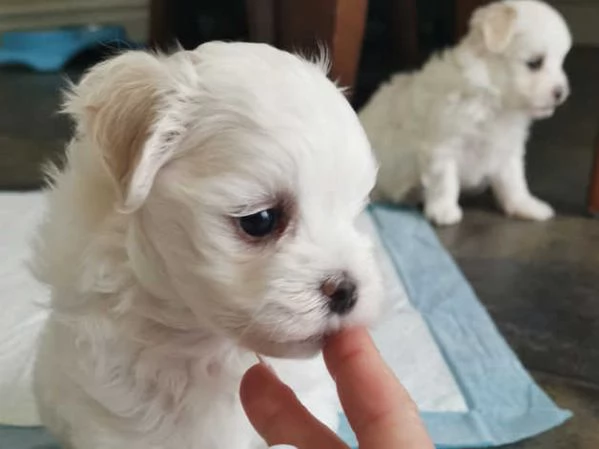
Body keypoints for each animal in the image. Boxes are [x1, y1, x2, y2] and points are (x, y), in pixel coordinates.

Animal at [31, 42, 384, 448]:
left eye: (353, 214)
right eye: (260, 220)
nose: (347, 290)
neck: (205, 340)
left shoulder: (311, 397)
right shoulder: (114, 414)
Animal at [358, 0, 576, 224]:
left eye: (561, 62)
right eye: (535, 63)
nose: (561, 92)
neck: (493, 100)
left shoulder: (506, 149)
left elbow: (514, 182)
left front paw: (525, 205)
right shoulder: (443, 144)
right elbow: (445, 180)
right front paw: (444, 210)